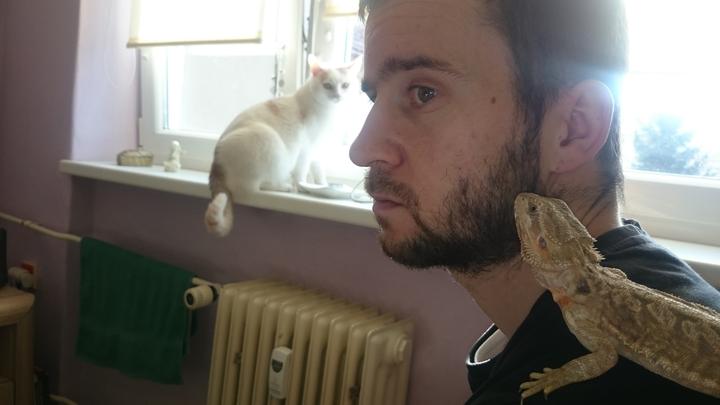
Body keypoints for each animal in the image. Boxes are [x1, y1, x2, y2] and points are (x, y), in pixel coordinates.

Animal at [204, 55, 361, 237]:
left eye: (345, 85)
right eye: (327, 85)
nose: (338, 96)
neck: (331, 113)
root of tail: (215, 163)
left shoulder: (317, 152)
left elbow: (319, 172)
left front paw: (322, 184)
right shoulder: (306, 150)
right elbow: (301, 173)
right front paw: (303, 187)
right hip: (269, 142)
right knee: (254, 189)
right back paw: (285, 187)